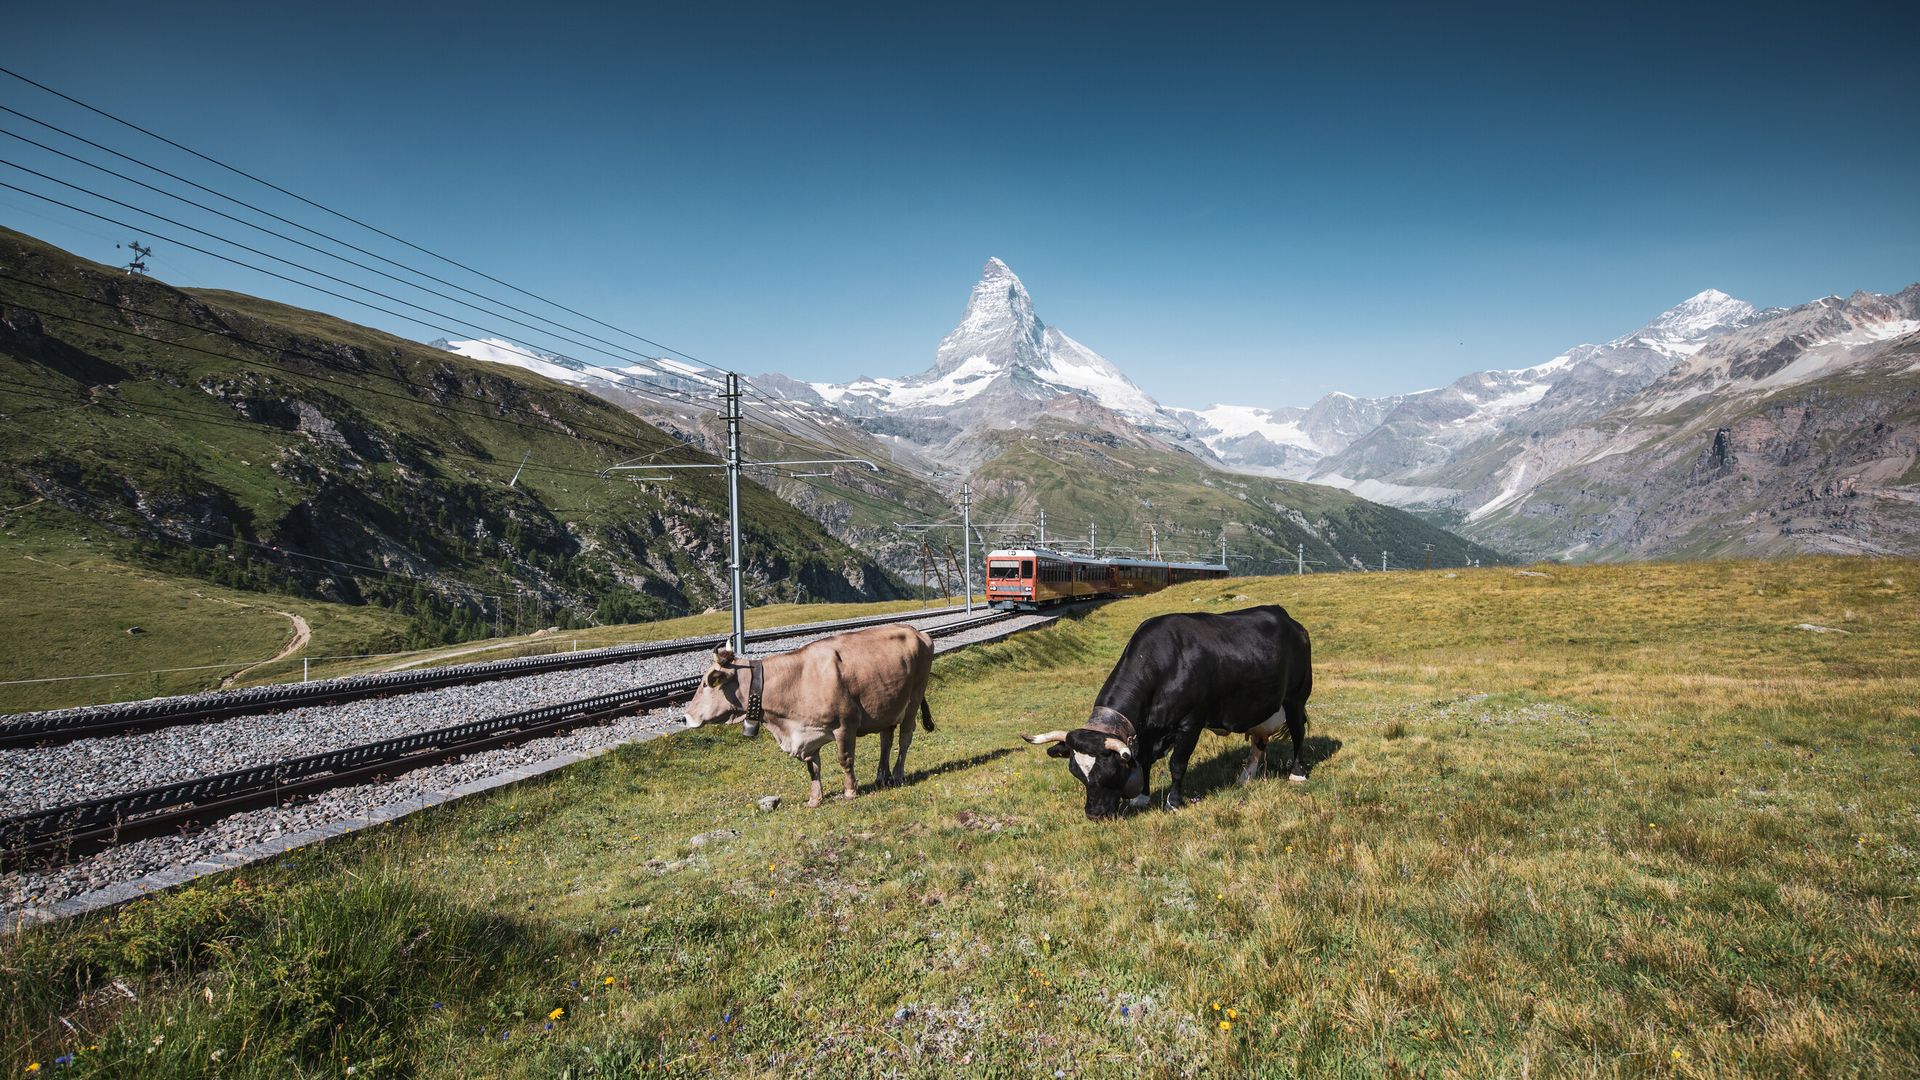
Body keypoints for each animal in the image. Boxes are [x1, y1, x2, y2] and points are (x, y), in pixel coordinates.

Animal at [683, 623, 936, 807]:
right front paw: (815, 799)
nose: (684, 717)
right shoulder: (806, 734)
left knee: (905, 738)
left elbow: (845, 759)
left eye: (706, 683)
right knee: (886, 739)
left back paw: (898, 774)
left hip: (914, 698)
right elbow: (813, 768)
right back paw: (881, 776)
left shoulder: (846, 724)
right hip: (888, 705)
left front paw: (850, 790)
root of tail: (917, 631)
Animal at [1022, 605, 1311, 819]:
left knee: (1298, 734)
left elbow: (1177, 764)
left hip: (1296, 699)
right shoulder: (1146, 732)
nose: (1094, 814)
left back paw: (1297, 773)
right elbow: (1145, 760)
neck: (1166, 664)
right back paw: (1246, 776)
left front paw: (1173, 801)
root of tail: (1287, 619)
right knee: (1259, 740)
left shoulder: (1190, 723)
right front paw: (1142, 796)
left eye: (1109, 771)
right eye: (1077, 773)